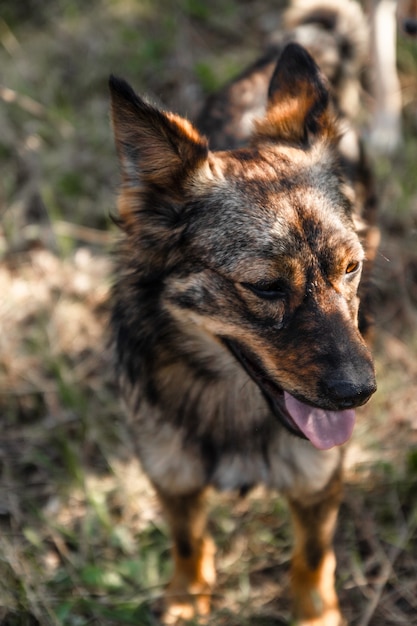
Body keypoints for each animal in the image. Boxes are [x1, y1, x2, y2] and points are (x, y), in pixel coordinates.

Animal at [109, 2, 376, 620]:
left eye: (351, 267)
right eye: (266, 286)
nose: (360, 394)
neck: (230, 405)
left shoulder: (317, 481)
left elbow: (312, 557)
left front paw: (316, 613)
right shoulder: (171, 475)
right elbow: (188, 541)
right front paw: (187, 601)